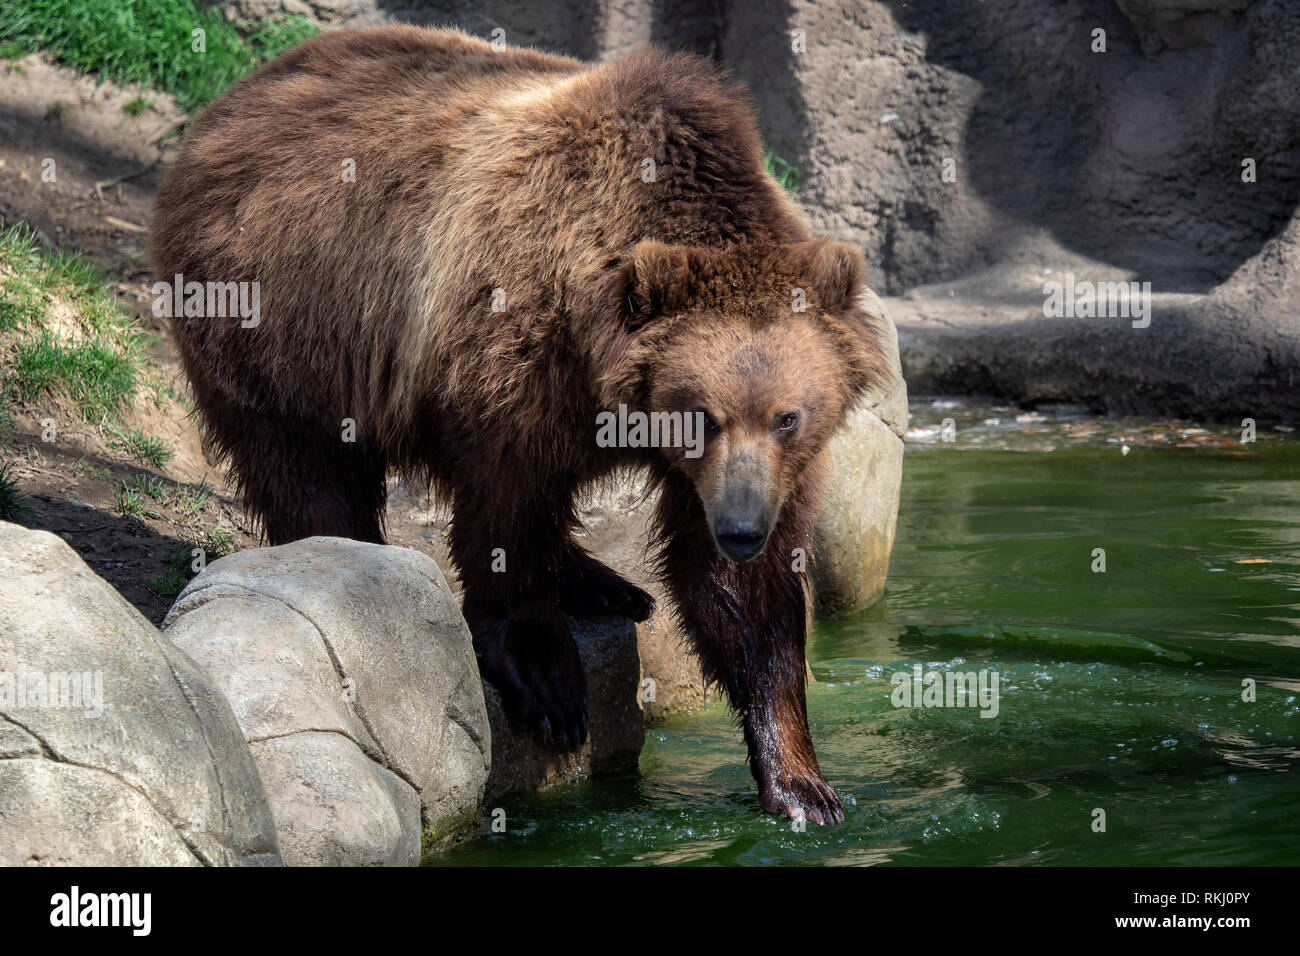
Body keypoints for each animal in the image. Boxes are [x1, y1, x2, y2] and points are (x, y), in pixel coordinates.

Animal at [150, 26, 889, 824]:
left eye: (787, 417)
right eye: (701, 415)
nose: (743, 529)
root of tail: (234, 96)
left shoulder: (744, 472)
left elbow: (741, 597)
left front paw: (801, 782)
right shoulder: (513, 352)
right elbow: (507, 507)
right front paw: (547, 683)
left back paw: (606, 583)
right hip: (282, 311)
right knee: (304, 463)